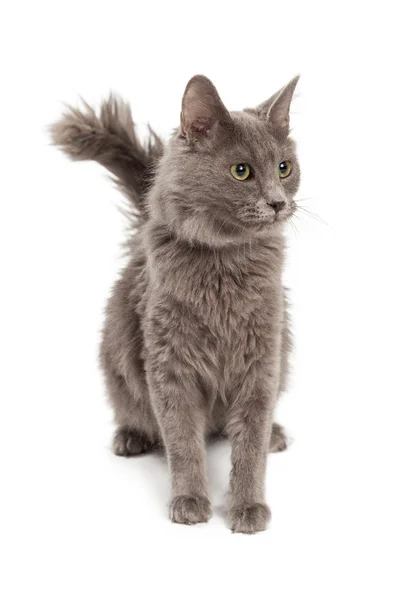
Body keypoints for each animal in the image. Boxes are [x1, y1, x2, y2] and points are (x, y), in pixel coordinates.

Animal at [50, 75, 300, 536]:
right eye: (241, 171)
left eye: (284, 168)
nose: (278, 202)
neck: (225, 264)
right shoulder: (170, 365)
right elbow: (183, 441)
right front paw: (190, 501)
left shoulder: (263, 360)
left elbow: (250, 445)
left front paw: (248, 507)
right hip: (117, 356)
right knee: (132, 409)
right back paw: (130, 437)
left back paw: (275, 433)